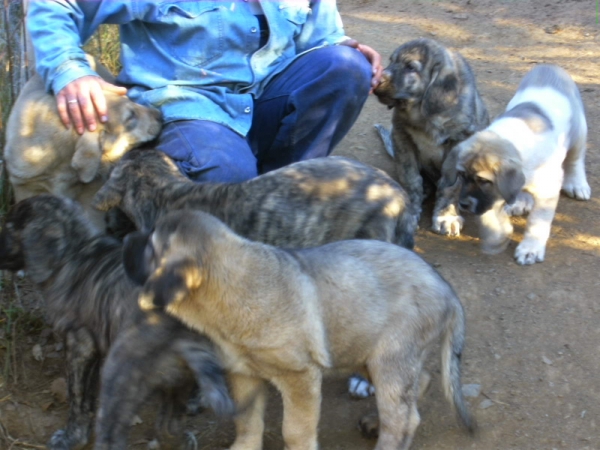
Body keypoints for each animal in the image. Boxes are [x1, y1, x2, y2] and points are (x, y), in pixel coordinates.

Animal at [0, 196, 232, 450]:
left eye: (9, 228)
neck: (73, 252)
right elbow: (86, 395)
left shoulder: (79, 344)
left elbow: (77, 395)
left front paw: (72, 436)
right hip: (178, 381)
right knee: (170, 426)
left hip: (120, 378)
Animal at [372, 37, 490, 236]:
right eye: (391, 61)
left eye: (410, 67)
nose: (376, 78)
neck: (424, 115)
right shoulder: (402, 136)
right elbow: (411, 177)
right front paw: (410, 208)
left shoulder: (458, 143)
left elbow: (451, 186)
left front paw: (446, 216)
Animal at [440, 65, 592, 266]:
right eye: (462, 176)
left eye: (483, 181)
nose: (463, 204)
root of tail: (549, 66)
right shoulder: (497, 193)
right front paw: (497, 235)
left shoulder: (548, 188)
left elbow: (537, 221)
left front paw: (530, 249)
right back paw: (520, 202)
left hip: (579, 131)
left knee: (576, 159)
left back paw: (577, 184)